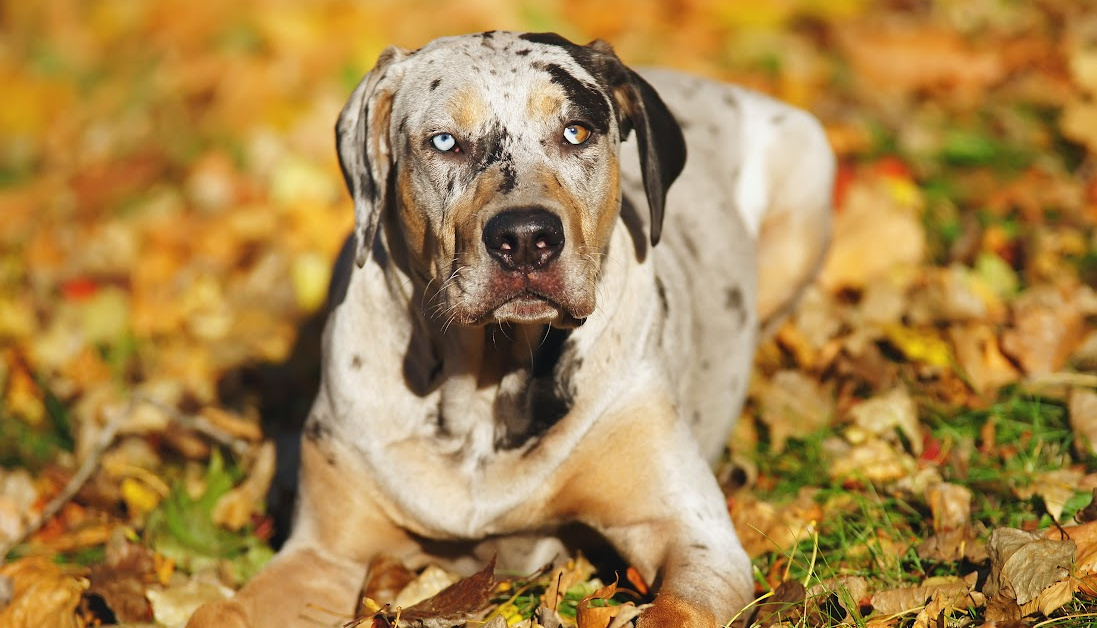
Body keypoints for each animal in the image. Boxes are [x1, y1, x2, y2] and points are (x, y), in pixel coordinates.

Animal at [186, 30, 829, 628]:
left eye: (576, 132)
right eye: (444, 141)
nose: (525, 237)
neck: (484, 392)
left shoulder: (692, 534)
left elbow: (675, 609)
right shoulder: (325, 554)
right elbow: (217, 613)